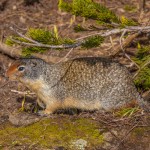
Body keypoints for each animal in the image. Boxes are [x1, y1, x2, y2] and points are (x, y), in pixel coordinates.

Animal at [5, 56, 146, 114]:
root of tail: (133, 90)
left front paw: (44, 112)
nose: (6, 74)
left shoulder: (53, 95)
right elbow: (40, 100)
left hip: (110, 98)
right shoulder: (41, 93)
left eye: (21, 68)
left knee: (126, 105)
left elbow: (52, 106)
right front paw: (39, 104)